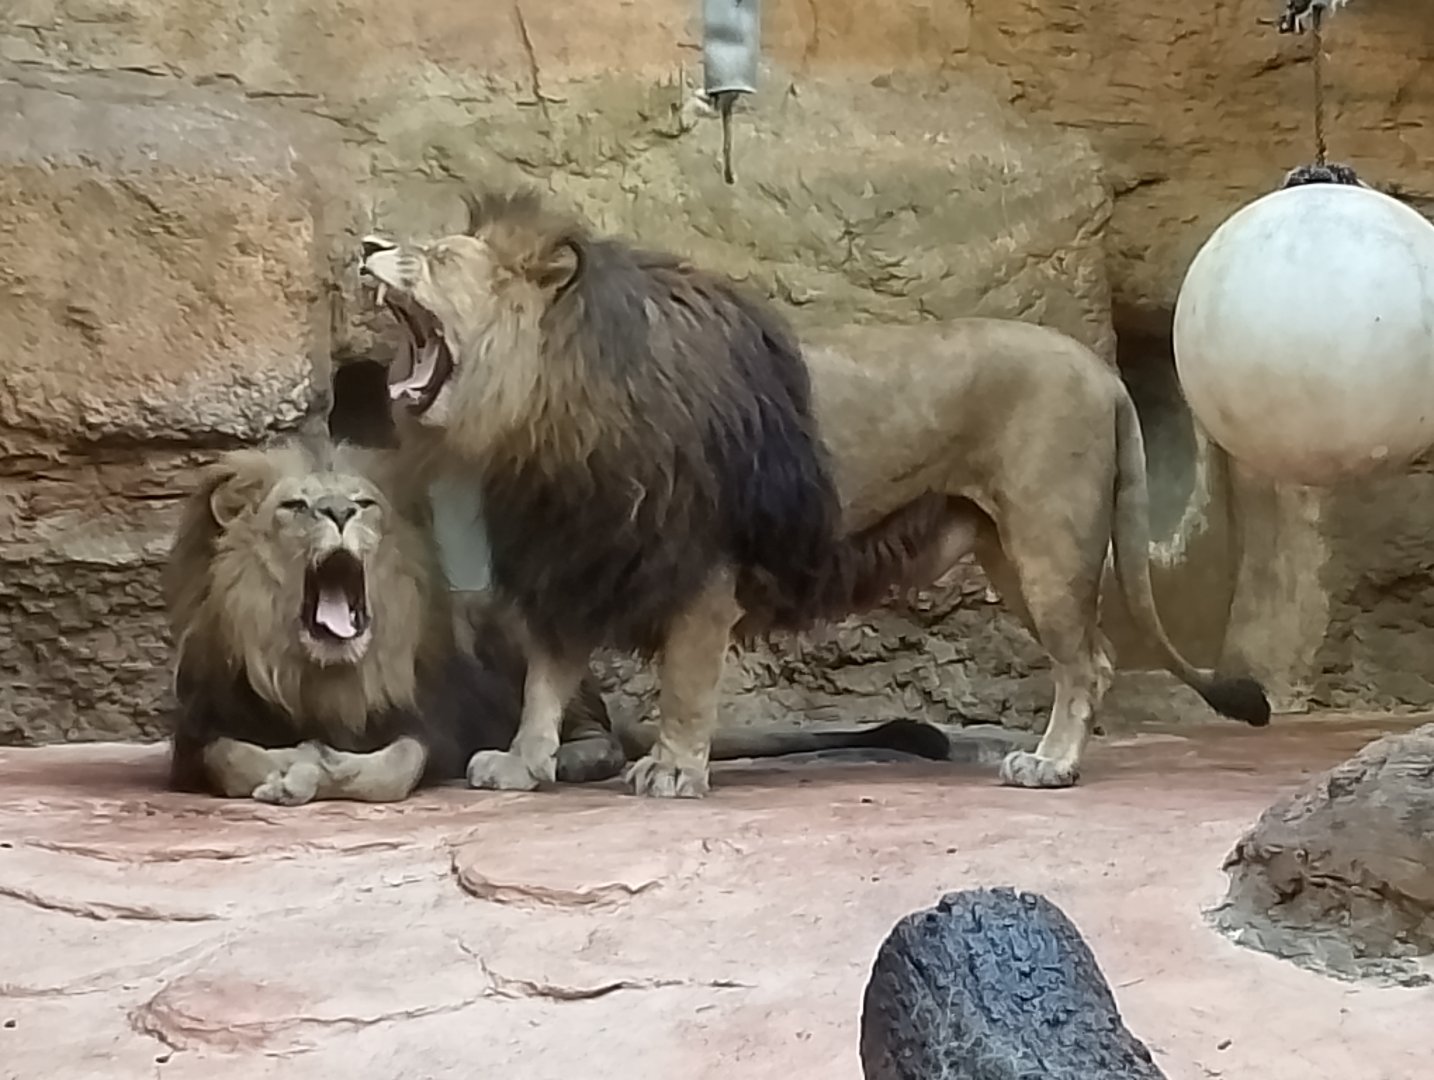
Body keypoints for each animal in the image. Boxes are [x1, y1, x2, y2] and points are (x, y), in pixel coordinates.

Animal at [162, 436, 952, 805]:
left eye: (363, 504)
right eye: (296, 507)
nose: (336, 513)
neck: (318, 674)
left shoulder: (432, 726)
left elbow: (392, 767)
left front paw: (322, 768)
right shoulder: (195, 735)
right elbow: (230, 757)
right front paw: (288, 769)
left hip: (513, 631)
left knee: (596, 735)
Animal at [356, 189, 1270, 799]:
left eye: (438, 257)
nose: (365, 244)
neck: (543, 415)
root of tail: (1103, 374)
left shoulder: (699, 565)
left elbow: (686, 680)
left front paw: (673, 769)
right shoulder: (573, 557)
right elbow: (545, 682)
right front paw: (521, 763)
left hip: (1050, 542)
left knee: (1090, 661)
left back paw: (1050, 764)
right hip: (1010, 551)